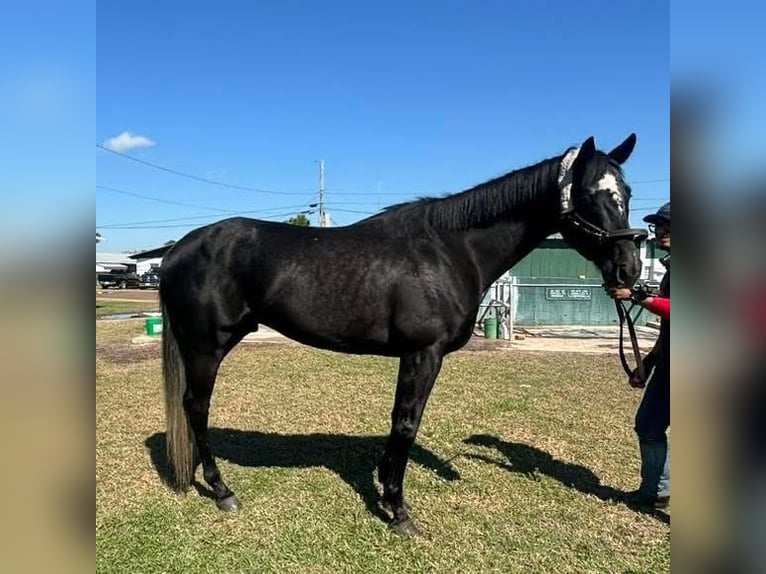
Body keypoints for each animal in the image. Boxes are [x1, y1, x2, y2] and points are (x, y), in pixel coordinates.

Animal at [160, 134, 648, 536]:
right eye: (589, 195)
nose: (629, 269)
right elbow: (407, 423)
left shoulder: (413, 357)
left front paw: (382, 483)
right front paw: (398, 511)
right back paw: (222, 490)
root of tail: (177, 250)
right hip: (206, 347)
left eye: (625, 194)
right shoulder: (423, 353)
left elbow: (400, 421)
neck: (451, 250)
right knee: (196, 408)